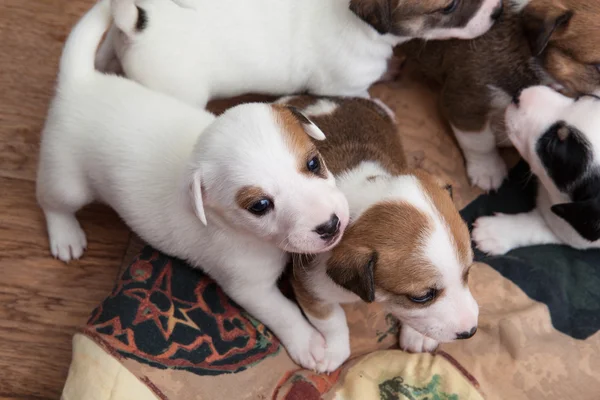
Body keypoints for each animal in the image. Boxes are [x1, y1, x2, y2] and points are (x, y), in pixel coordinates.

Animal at [38, 1, 352, 374]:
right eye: (259, 206)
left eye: (314, 164)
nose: (330, 226)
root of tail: (80, 82)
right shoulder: (250, 288)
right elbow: (284, 313)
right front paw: (308, 343)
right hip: (67, 180)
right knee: (50, 201)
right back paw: (65, 235)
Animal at [278, 95, 480, 374]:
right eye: (421, 297)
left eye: (467, 272)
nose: (470, 331)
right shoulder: (309, 286)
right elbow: (332, 320)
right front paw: (334, 351)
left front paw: (418, 335)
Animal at [474, 86, 600, 255]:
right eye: (580, 97)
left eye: (551, 147)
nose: (518, 96)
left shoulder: (579, 228)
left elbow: (548, 228)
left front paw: (494, 232)